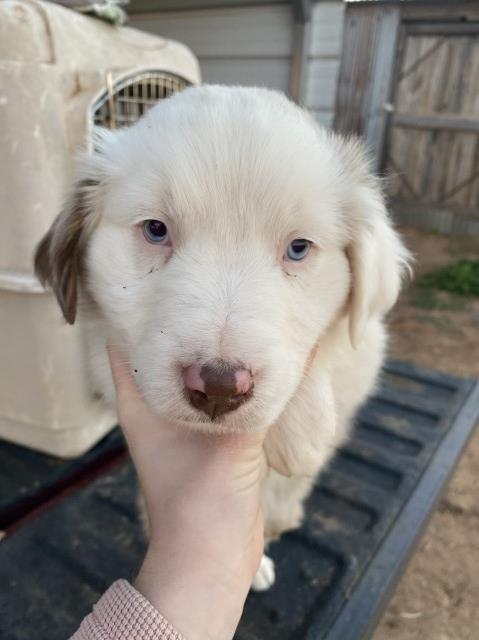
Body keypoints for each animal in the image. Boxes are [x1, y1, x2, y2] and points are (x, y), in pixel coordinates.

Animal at [34, 85, 412, 592]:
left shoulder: (361, 350)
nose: (217, 387)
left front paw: (302, 442)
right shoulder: (111, 343)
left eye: (299, 248)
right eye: (156, 229)